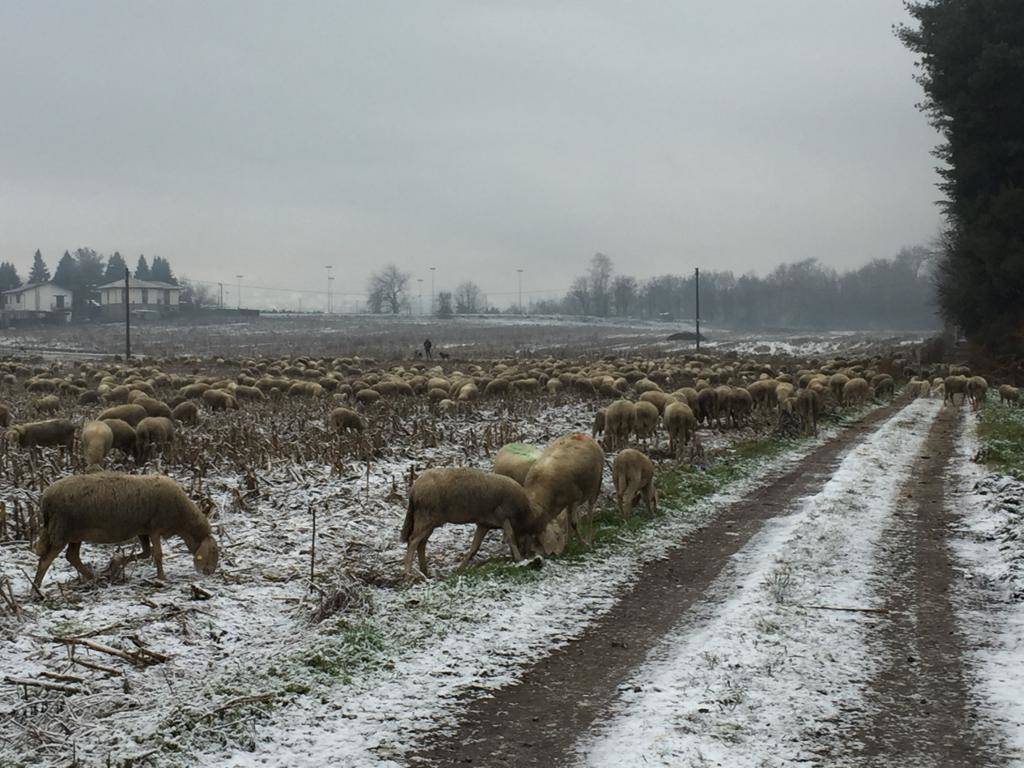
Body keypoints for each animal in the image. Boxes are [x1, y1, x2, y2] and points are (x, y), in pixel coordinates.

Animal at [32, 472, 219, 589]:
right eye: (213, 551)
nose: (210, 572)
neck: (182, 518)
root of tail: (45, 498)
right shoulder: (155, 528)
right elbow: (157, 554)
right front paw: (162, 578)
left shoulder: (143, 530)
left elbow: (146, 553)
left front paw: (114, 564)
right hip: (62, 530)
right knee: (46, 560)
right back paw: (36, 590)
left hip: (74, 534)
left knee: (71, 556)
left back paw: (95, 578)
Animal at [401, 468, 544, 579]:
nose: (530, 555)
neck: (523, 514)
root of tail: (414, 489)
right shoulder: (504, 518)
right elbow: (511, 538)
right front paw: (520, 561)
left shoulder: (484, 524)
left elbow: (474, 548)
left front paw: (459, 569)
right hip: (425, 518)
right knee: (413, 541)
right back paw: (407, 573)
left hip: (429, 522)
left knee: (421, 543)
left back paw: (424, 571)